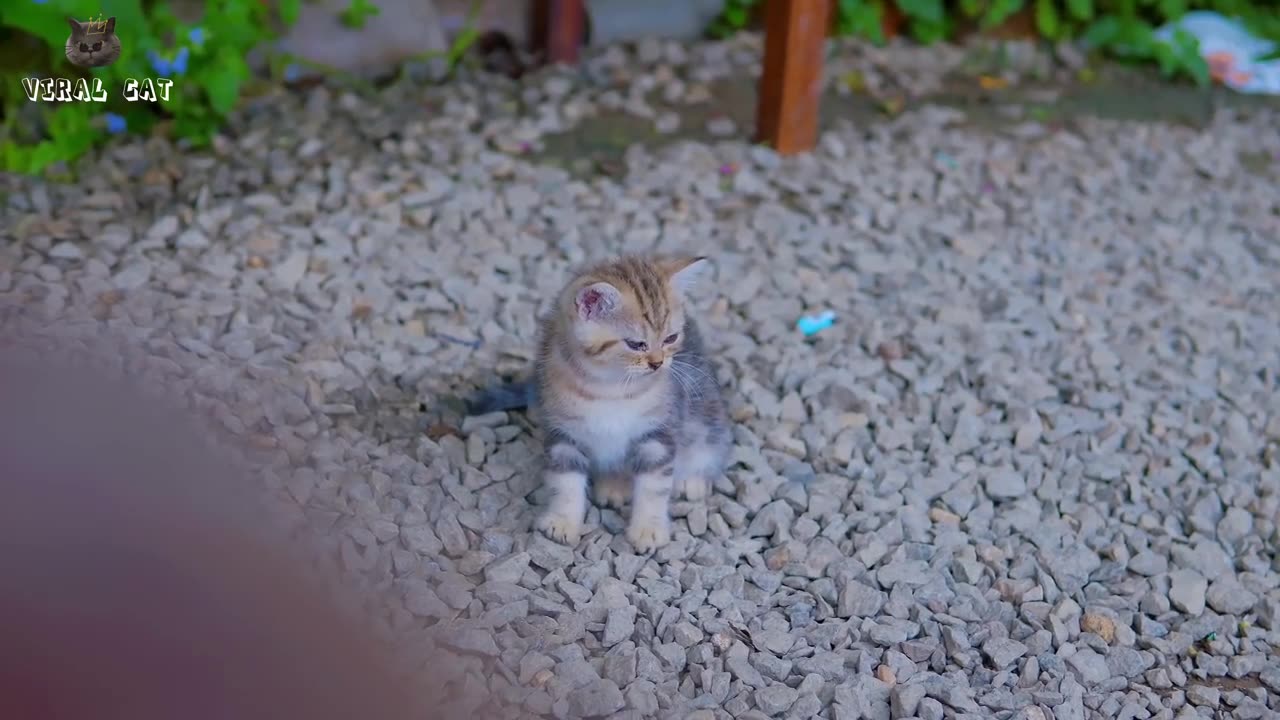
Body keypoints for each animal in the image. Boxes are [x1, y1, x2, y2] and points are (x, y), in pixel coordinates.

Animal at [468, 255, 731, 552]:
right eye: (636, 344)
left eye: (670, 338)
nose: (657, 363)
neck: (610, 388)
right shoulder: (563, 433)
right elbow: (565, 482)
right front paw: (562, 521)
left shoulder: (659, 433)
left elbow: (654, 487)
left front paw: (648, 529)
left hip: (707, 413)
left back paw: (690, 480)